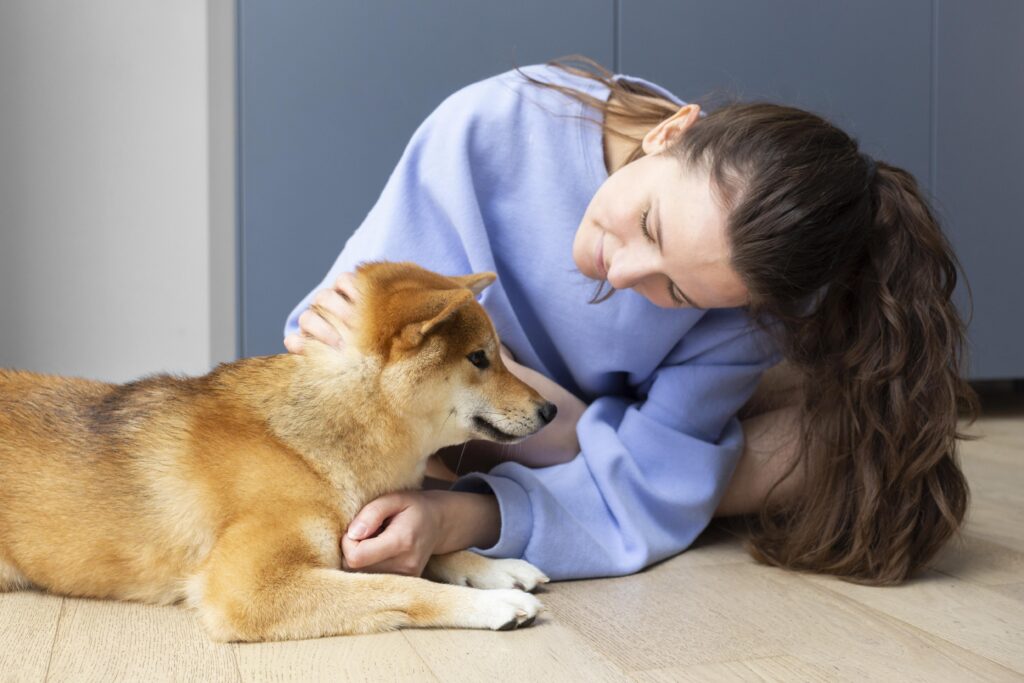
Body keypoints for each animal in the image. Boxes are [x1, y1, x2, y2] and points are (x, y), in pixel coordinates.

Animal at [0, 260, 557, 643]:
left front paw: (495, 567)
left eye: (498, 356)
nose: (551, 409)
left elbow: (431, 551)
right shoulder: (247, 588)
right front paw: (492, 602)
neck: (310, 443)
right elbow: (400, 587)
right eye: (479, 359)